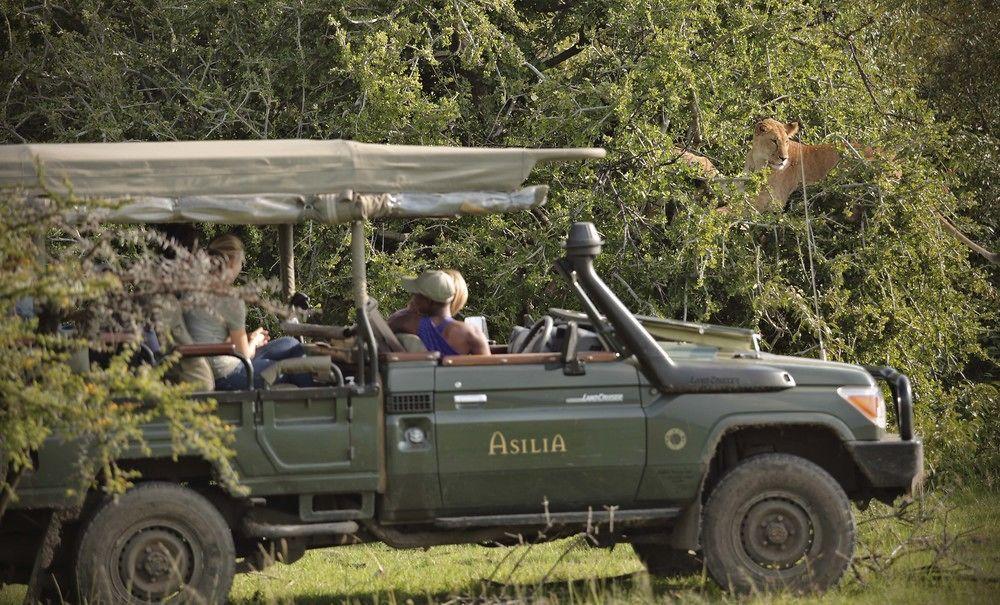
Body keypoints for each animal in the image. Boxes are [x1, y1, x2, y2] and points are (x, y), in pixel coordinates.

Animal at [748, 118, 996, 264]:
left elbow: (742, 211)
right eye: (774, 141)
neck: (758, 162)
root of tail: (894, 161)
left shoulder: (773, 200)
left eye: (786, 142)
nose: (783, 158)